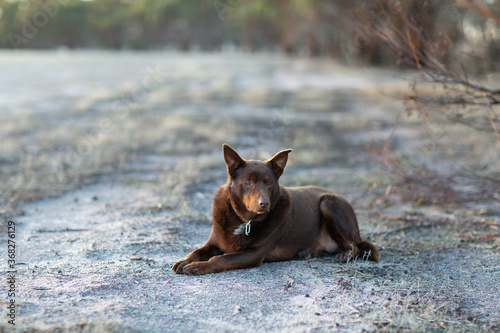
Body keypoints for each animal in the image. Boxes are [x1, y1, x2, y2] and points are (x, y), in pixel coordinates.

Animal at [173, 144, 378, 274]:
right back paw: (305, 253)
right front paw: (185, 261)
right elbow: (197, 251)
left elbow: (220, 259)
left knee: (354, 246)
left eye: (269, 182)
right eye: (248, 182)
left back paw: (343, 255)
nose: (264, 203)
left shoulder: (255, 254)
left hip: (328, 203)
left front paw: (198, 266)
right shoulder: (214, 243)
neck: (243, 220)